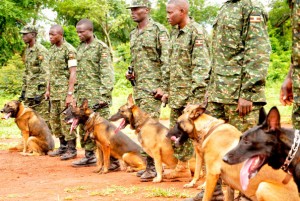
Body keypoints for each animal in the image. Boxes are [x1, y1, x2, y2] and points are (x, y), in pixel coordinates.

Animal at [168, 104, 298, 201]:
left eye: (177, 123)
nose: (167, 134)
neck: (210, 129)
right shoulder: (229, 183)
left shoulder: (212, 174)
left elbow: (206, 195)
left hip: (263, 186)